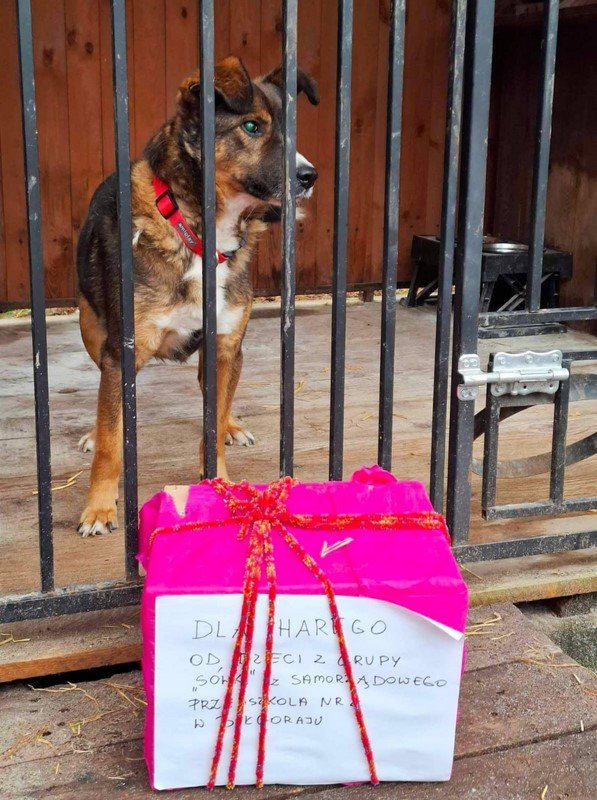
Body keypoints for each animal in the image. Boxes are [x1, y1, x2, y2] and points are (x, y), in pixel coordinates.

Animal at [76, 56, 318, 536]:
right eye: (251, 126)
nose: (309, 176)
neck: (203, 236)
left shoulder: (224, 344)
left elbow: (211, 429)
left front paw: (219, 480)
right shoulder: (121, 352)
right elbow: (112, 441)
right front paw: (99, 508)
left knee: (218, 400)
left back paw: (231, 425)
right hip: (91, 328)